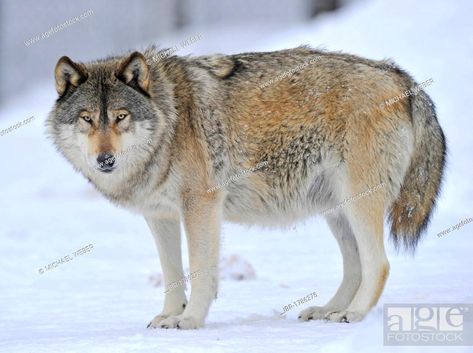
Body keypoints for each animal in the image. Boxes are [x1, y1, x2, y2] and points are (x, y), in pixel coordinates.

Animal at [48, 45, 446, 328]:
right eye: (87, 119)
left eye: (121, 117)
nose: (105, 160)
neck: (169, 121)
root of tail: (401, 78)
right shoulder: (160, 217)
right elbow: (172, 275)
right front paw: (169, 316)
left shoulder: (201, 206)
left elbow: (201, 271)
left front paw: (189, 320)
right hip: (336, 210)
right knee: (356, 266)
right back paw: (328, 310)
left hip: (357, 201)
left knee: (378, 264)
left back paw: (353, 314)